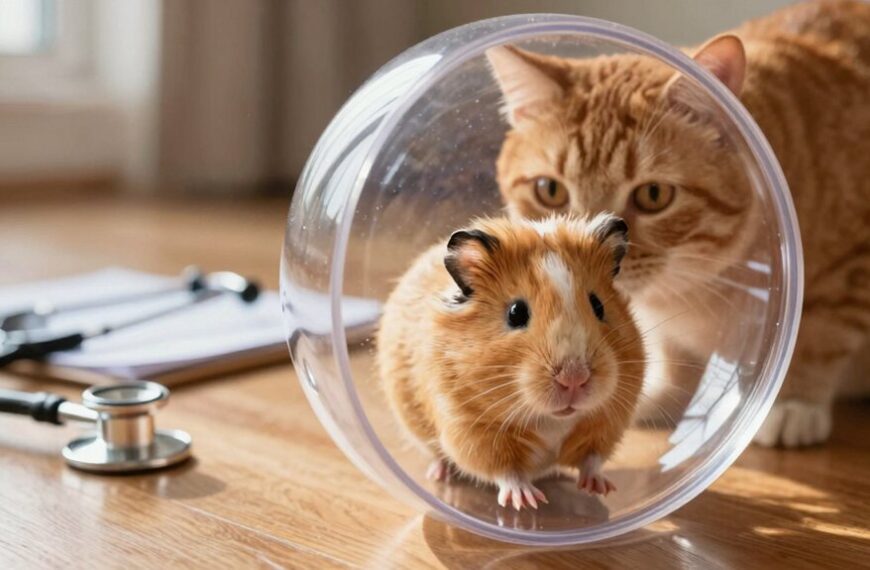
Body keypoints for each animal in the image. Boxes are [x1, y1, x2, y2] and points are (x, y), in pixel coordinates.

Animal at [376, 214, 644, 510]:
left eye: (598, 306)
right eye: (516, 313)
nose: (574, 378)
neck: (551, 419)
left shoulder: (609, 421)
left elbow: (592, 459)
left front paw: (600, 488)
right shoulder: (472, 431)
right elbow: (506, 470)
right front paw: (528, 502)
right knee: (438, 455)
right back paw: (440, 475)